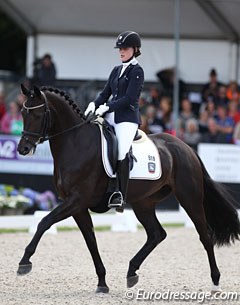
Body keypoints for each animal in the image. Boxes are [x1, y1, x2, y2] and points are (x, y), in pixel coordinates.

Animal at [17, 85, 240, 292]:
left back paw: (215, 282)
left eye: (37, 114)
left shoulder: (77, 200)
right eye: (22, 113)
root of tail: (187, 148)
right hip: (144, 203)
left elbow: (44, 222)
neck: (76, 142)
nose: (23, 148)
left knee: (205, 235)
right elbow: (90, 240)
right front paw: (102, 282)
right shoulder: (77, 206)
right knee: (157, 234)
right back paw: (132, 271)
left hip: (190, 198)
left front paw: (24, 262)